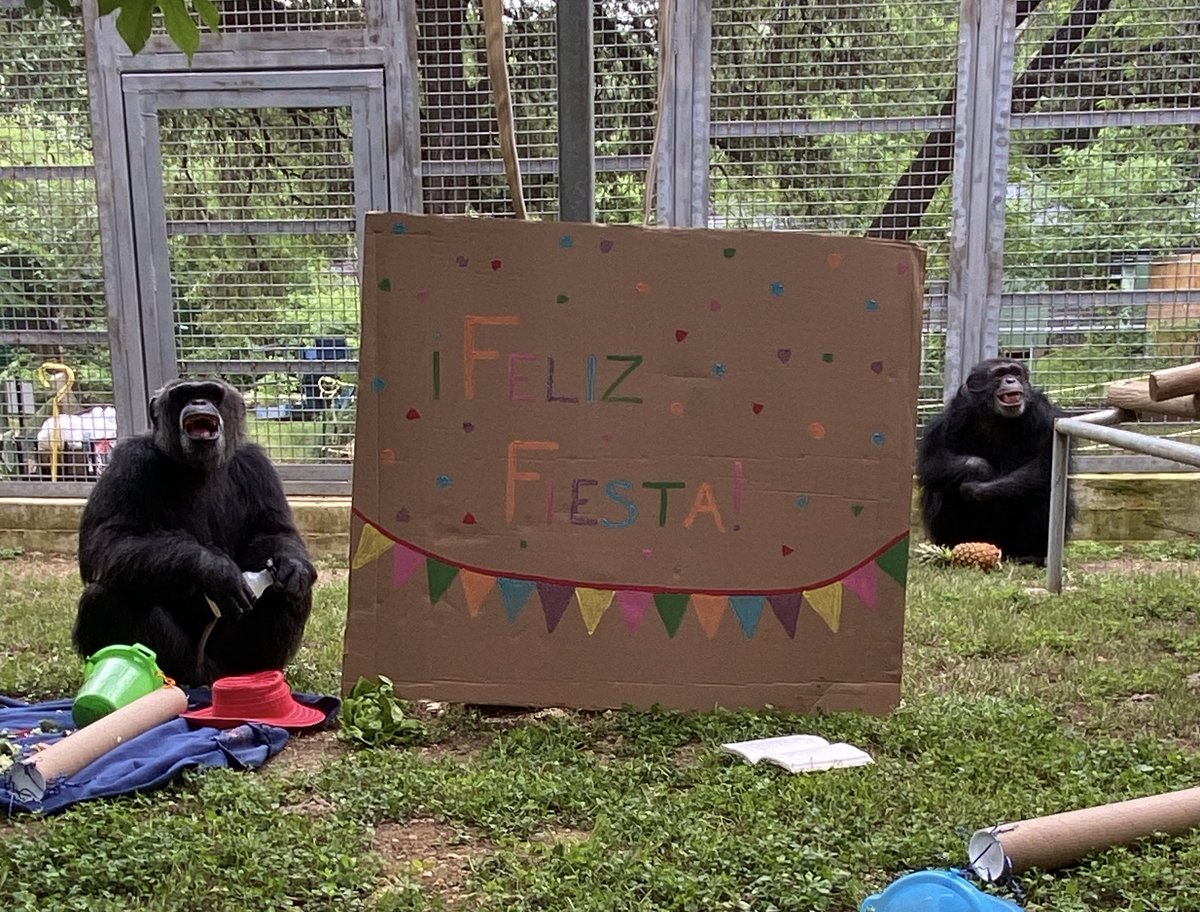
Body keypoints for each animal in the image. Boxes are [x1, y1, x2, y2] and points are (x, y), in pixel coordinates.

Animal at [72, 376, 316, 681]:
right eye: (185, 394)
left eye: (210, 392)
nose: (199, 401)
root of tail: (210, 677)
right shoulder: (127, 463)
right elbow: (106, 541)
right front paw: (215, 569)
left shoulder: (258, 467)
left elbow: (275, 532)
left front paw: (291, 564)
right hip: (187, 663)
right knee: (107, 595)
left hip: (230, 660)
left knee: (290, 591)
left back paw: (259, 673)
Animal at [912, 360, 1075, 566]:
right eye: (999, 374)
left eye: (1015, 372)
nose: (1011, 379)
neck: (996, 416)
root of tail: (1000, 550)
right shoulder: (955, 415)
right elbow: (931, 461)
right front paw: (981, 470)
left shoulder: (1044, 416)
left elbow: (1046, 466)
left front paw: (978, 488)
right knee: (941, 487)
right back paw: (950, 550)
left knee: (1044, 492)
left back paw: (1034, 555)